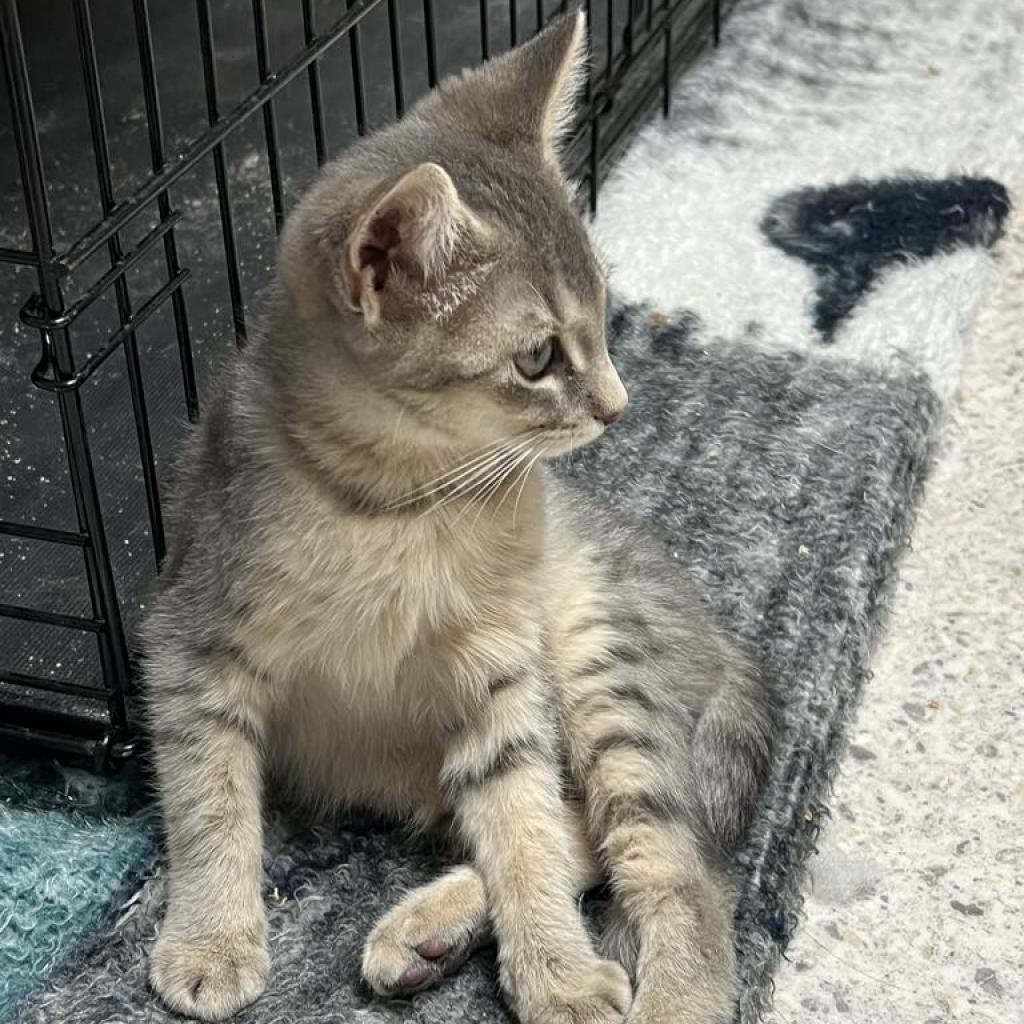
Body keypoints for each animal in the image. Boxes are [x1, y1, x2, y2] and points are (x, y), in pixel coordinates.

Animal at [146, 14, 774, 1024]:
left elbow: (522, 826)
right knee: (581, 824)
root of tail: (730, 644)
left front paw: (556, 969)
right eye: (537, 358)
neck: (400, 504)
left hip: (606, 670)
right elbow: (209, 799)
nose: (618, 405)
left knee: (675, 865)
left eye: (606, 316)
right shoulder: (187, 640)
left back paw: (666, 990)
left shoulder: (501, 672)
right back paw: (427, 932)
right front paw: (211, 935)